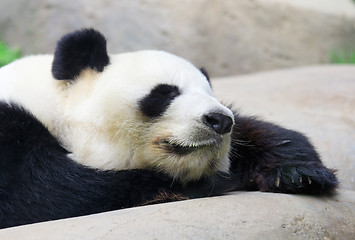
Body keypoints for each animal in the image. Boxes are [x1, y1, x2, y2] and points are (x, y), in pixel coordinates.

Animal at [0, 29, 340, 228]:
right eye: (166, 92)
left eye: (210, 93)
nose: (219, 120)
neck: (56, 105)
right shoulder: (11, 133)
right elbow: (43, 192)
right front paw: (194, 185)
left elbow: (255, 132)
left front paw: (298, 173)